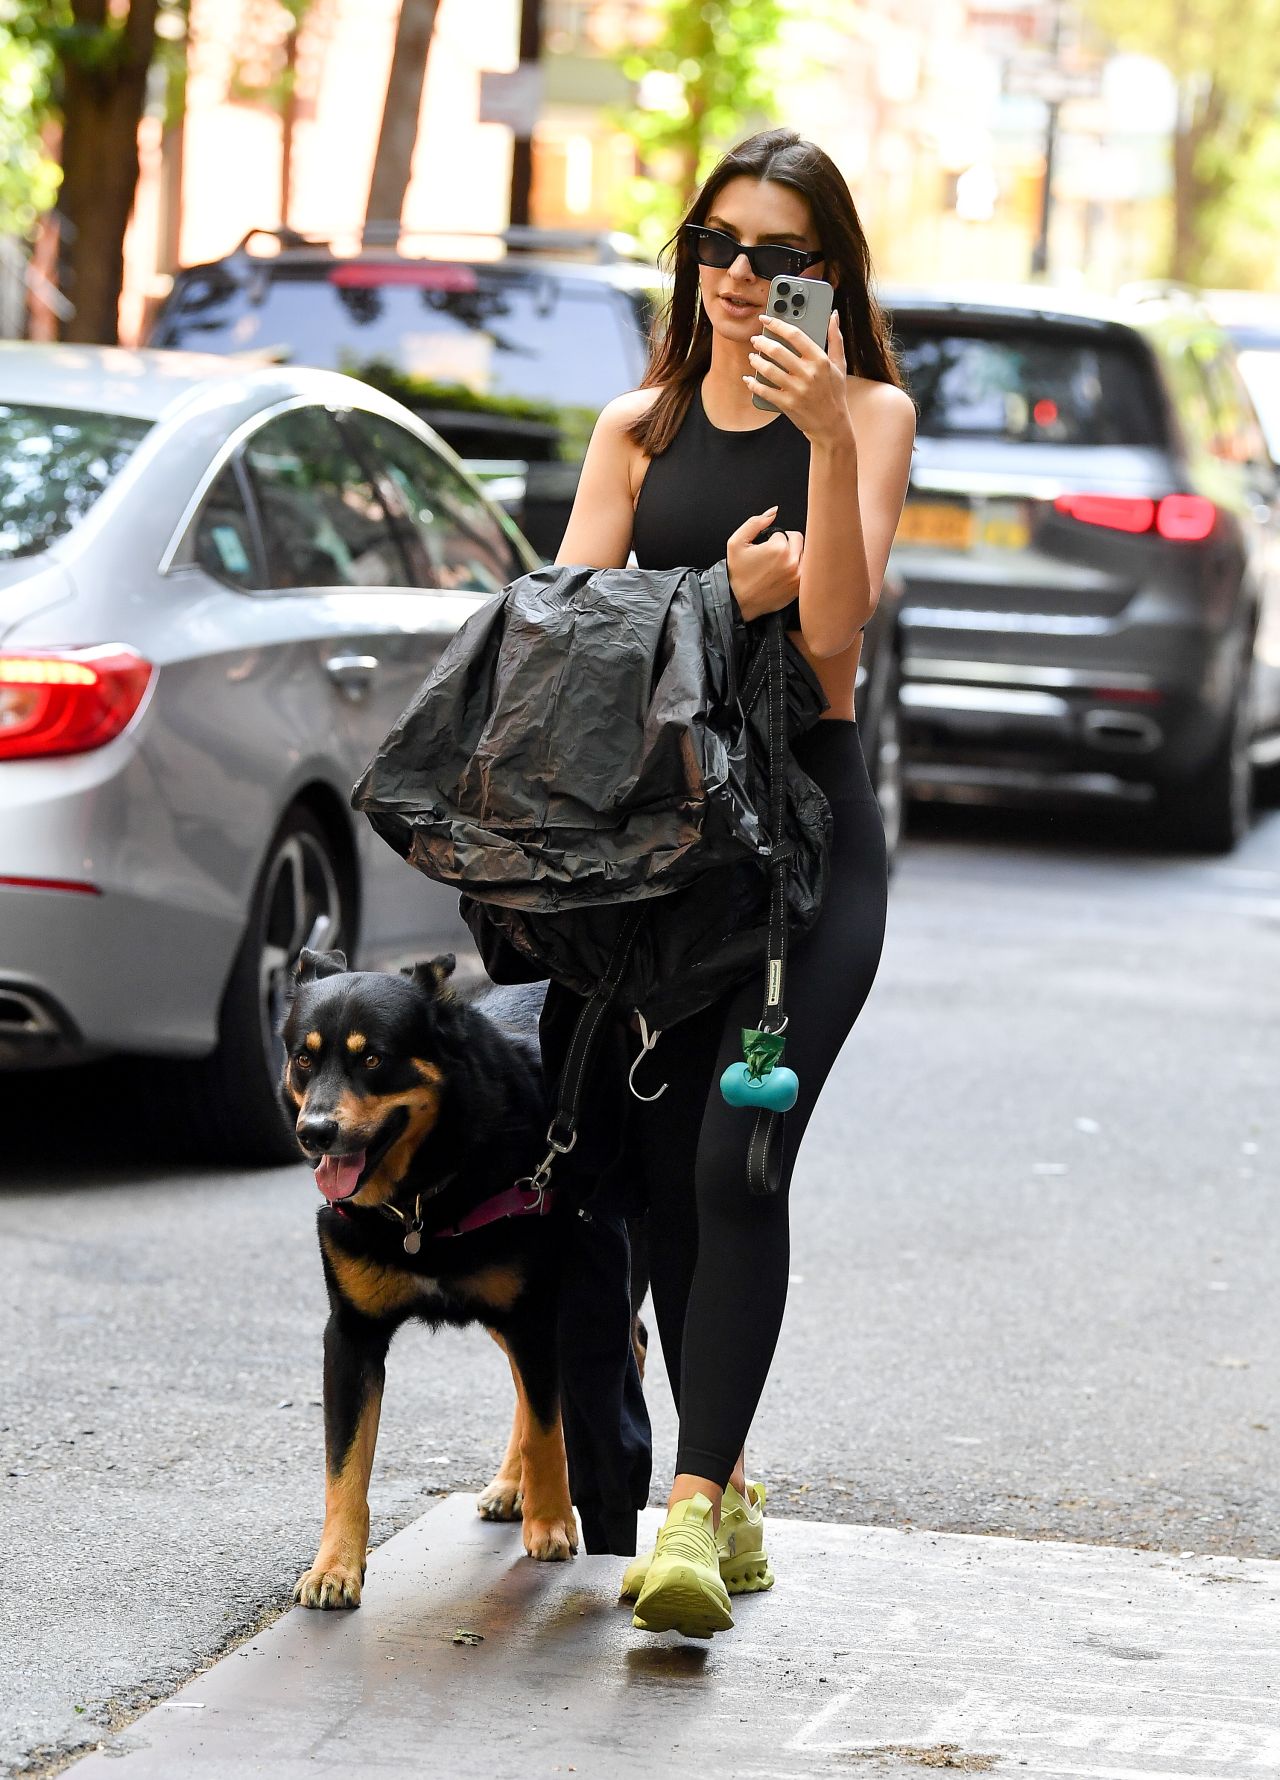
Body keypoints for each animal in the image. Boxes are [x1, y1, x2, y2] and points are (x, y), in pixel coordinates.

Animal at [284, 939, 580, 1609]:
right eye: (302, 1060)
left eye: (373, 1058)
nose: (315, 1132)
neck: (421, 1198)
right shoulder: (350, 1335)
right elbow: (344, 1464)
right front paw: (334, 1567)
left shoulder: (533, 1310)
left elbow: (547, 1425)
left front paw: (552, 1522)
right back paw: (509, 1485)